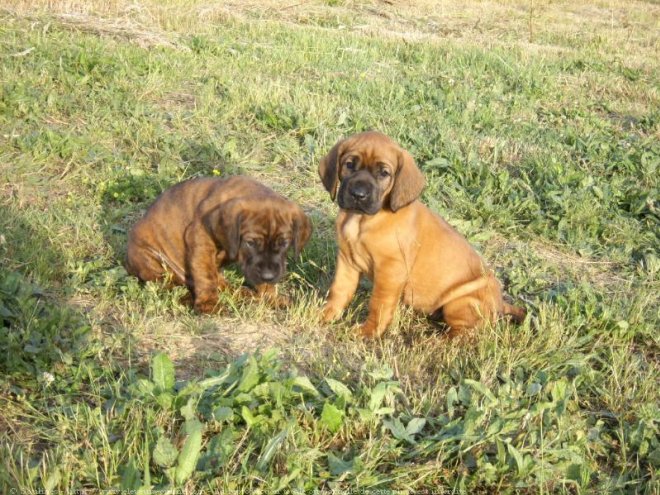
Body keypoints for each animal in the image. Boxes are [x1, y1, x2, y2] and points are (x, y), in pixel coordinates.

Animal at [126, 176, 312, 312]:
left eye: (284, 243)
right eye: (250, 243)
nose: (268, 276)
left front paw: (271, 297)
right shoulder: (200, 239)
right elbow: (205, 275)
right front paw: (209, 304)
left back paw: (243, 293)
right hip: (152, 261)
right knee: (169, 285)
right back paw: (187, 298)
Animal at [320, 130, 524, 340]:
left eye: (384, 173)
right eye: (349, 164)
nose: (358, 194)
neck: (360, 220)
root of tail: (501, 305)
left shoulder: (390, 271)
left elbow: (379, 304)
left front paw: (368, 332)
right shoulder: (347, 261)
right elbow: (339, 290)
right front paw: (326, 314)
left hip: (461, 302)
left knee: (463, 334)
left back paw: (433, 341)